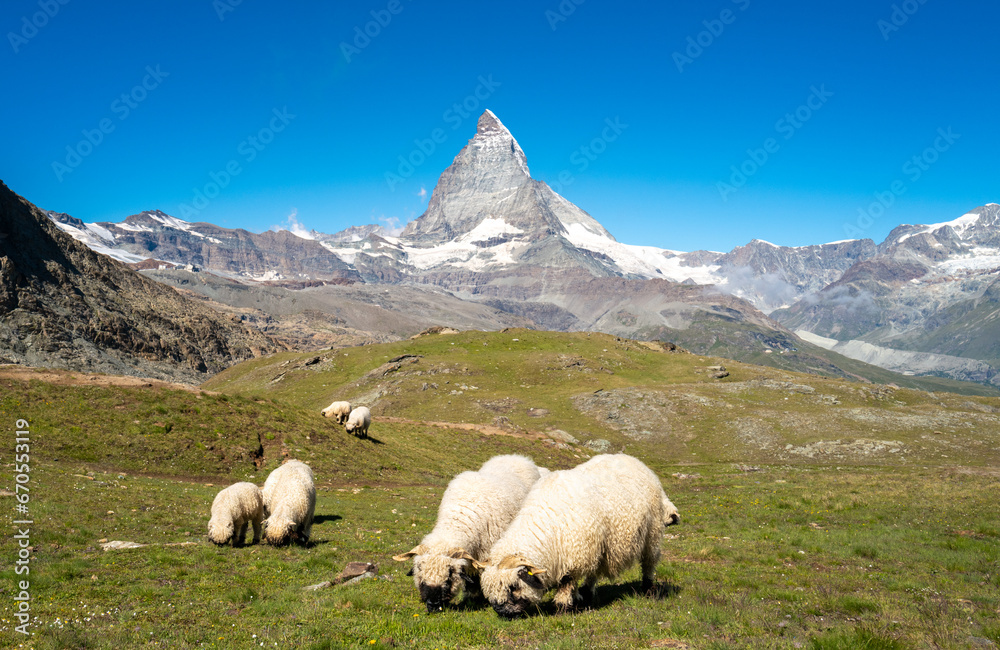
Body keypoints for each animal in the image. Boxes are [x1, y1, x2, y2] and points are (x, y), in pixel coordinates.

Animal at [476, 453, 679, 618]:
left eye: (513, 587)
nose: (502, 612)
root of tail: (634, 460)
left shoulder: (575, 556)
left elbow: (567, 583)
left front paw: (562, 608)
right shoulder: (581, 550)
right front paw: (577, 599)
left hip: (652, 532)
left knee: (649, 560)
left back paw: (648, 589)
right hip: (601, 545)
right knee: (595, 571)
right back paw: (589, 593)